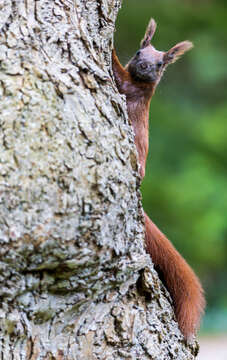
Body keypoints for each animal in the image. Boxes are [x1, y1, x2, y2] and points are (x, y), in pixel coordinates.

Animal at [112, 18, 205, 338]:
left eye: (162, 63)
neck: (143, 88)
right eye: (140, 51)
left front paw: (109, 48)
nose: (146, 67)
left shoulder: (127, 87)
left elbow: (116, 70)